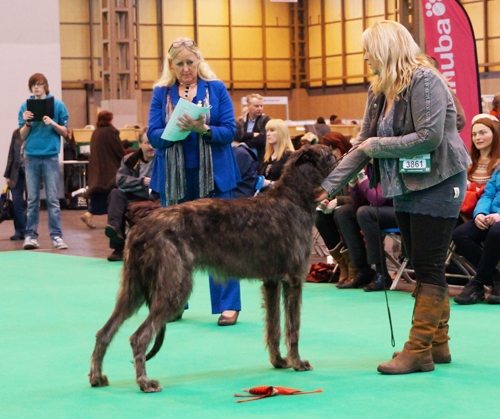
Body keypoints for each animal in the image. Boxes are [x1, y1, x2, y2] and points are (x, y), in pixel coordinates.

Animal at [90, 144, 336, 394]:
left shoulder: (272, 282)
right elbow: (293, 327)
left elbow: (273, 326)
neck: (293, 197)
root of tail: (141, 228)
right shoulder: (293, 279)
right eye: (328, 153)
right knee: (139, 337)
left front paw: (279, 361)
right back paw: (145, 382)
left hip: (134, 288)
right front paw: (297, 362)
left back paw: (97, 376)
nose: (339, 155)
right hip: (174, 287)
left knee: (105, 332)